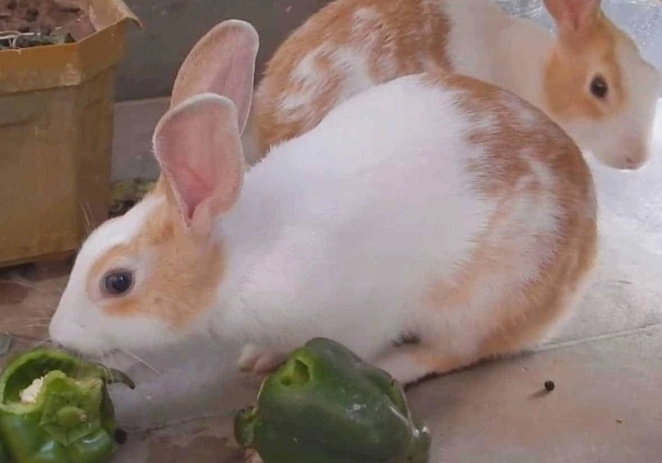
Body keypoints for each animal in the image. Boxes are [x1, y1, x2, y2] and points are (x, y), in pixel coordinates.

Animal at [49, 19, 598, 388]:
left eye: (117, 282)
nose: (59, 336)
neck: (239, 260)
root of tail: (583, 255)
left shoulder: (361, 319)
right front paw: (258, 357)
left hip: (483, 299)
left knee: (454, 351)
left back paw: (396, 367)